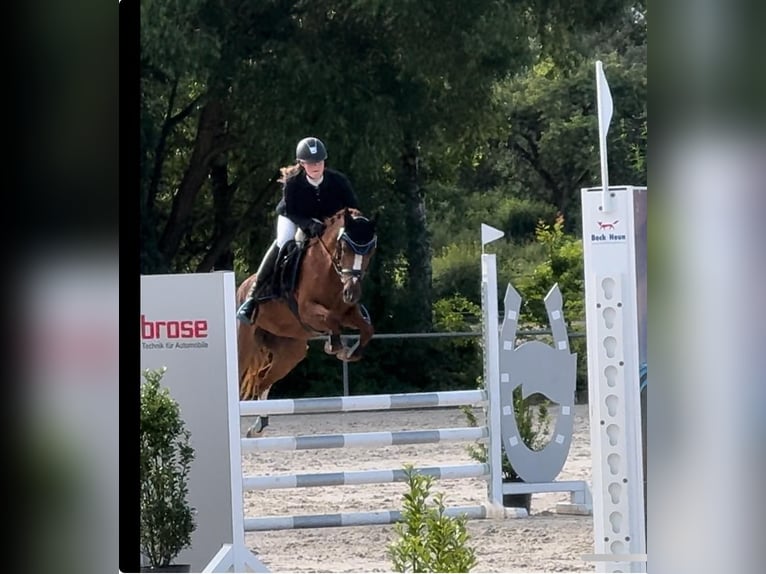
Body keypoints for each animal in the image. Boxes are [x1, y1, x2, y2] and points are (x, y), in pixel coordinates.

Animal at [236, 209, 376, 434]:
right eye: (344, 248)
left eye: (370, 251)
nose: (352, 292)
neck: (330, 271)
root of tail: (243, 286)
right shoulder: (306, 311)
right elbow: (330, 319)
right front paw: (335, 346)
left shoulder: (348, 312)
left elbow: (367, 328)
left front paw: (350, 352)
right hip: (244, 343)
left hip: (291, 353)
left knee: (261, 379)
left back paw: (259, 425)